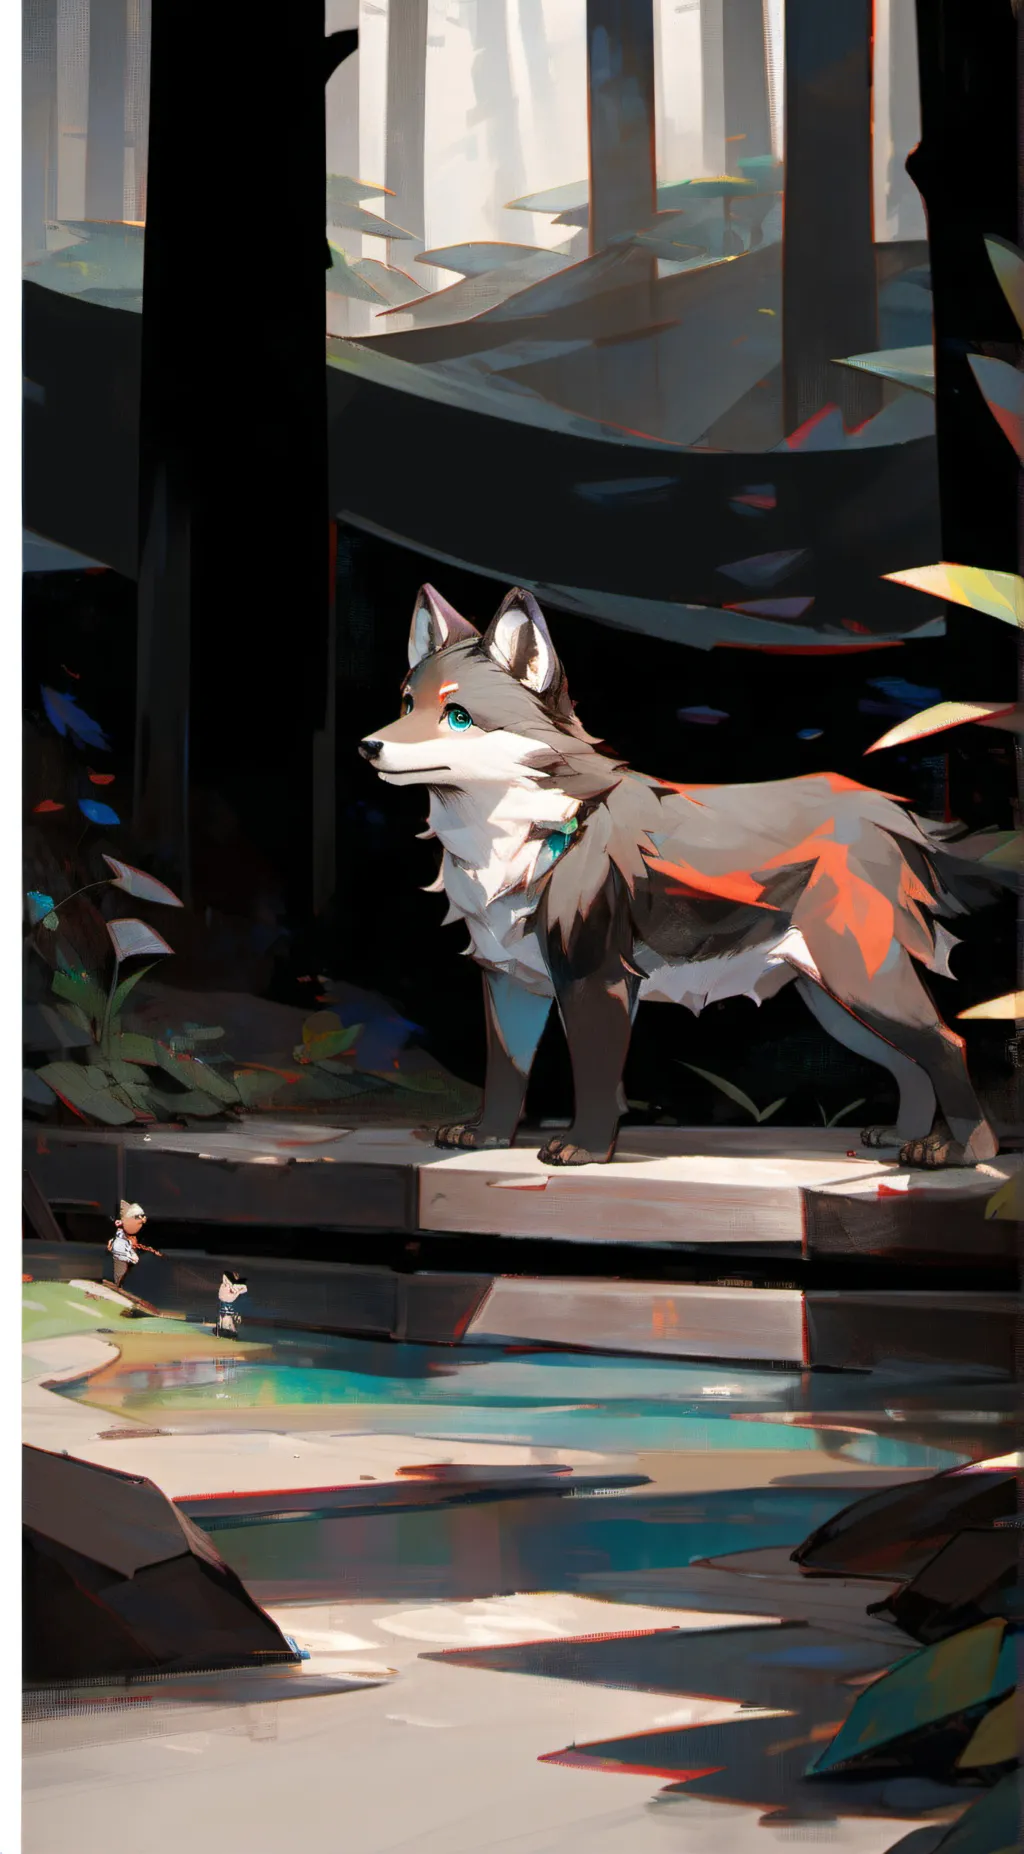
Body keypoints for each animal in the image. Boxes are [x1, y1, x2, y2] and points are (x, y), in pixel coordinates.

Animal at [360, 583, 1015, 1170]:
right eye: (406, 705)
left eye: (458, 717)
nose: (368, 746)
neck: (525, 841)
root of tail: (891, 809)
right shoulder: (509, 980)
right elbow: (506, 1077)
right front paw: (488, 1139)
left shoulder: (594, 977)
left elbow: (594, 1078)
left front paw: (586, 1150)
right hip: (836, 1001)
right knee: (912, 1063)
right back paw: (903, 1137)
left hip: (861, 982)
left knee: (947, 1044)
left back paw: (961, 1151)